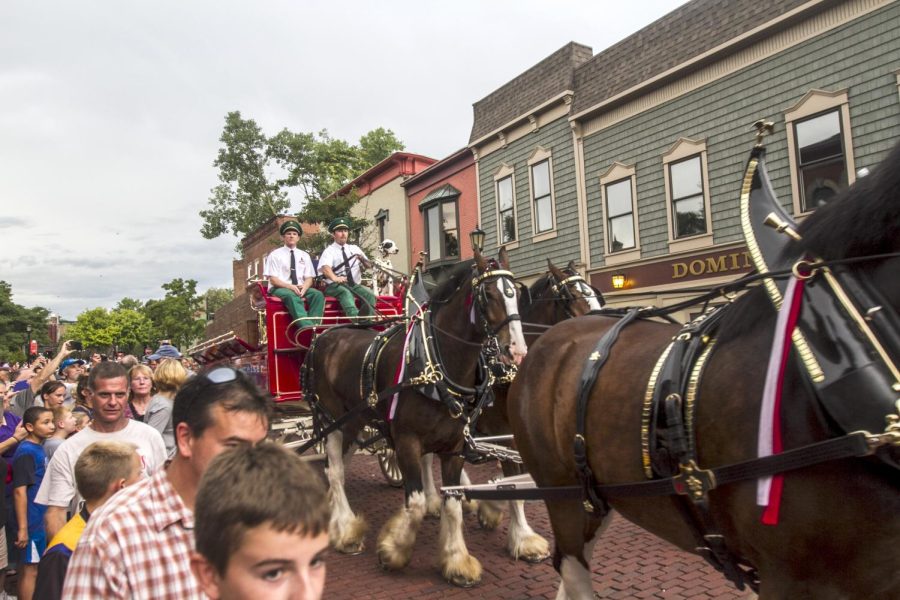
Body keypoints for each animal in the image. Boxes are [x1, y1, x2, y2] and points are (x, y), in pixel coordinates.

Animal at [308, 247, 524, 584]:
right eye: (488, 294)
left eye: (518, 293)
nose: (516, 350)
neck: (433, 362)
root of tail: (324, 335)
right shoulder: (407, 440)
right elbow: (417, 502)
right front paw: (393, 550)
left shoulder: (454, 445)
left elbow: (453, 503)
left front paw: (457, 560)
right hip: (333, 421)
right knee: (335, 472)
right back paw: (346, 531)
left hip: (354, 421)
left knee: (339, 465)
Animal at [506, 143, 900, 596]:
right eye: (570, 296)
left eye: (596, 294)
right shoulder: (794, 576)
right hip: (562, 491)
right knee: (572, 565)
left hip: (597, 492)